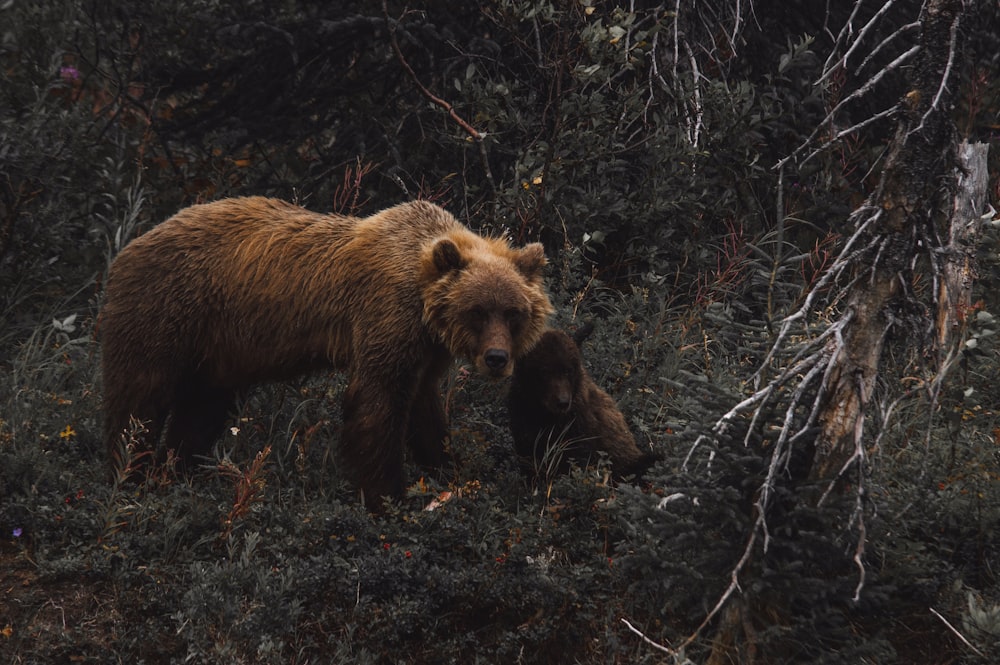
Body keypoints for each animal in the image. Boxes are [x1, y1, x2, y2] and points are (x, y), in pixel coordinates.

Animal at [101, 197, 556, 504]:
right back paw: (129, 473)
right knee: (140, 399)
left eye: (513, 312)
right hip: (167, 310)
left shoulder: (425, 348)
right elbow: (376, 403)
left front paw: (452, 471)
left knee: (201, 409)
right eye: (476, 311)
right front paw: (387, 496)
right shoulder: (385, 315)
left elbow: (424, 409)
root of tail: (128, 247)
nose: (497, 359)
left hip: (215, 351)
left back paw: (175, 472)